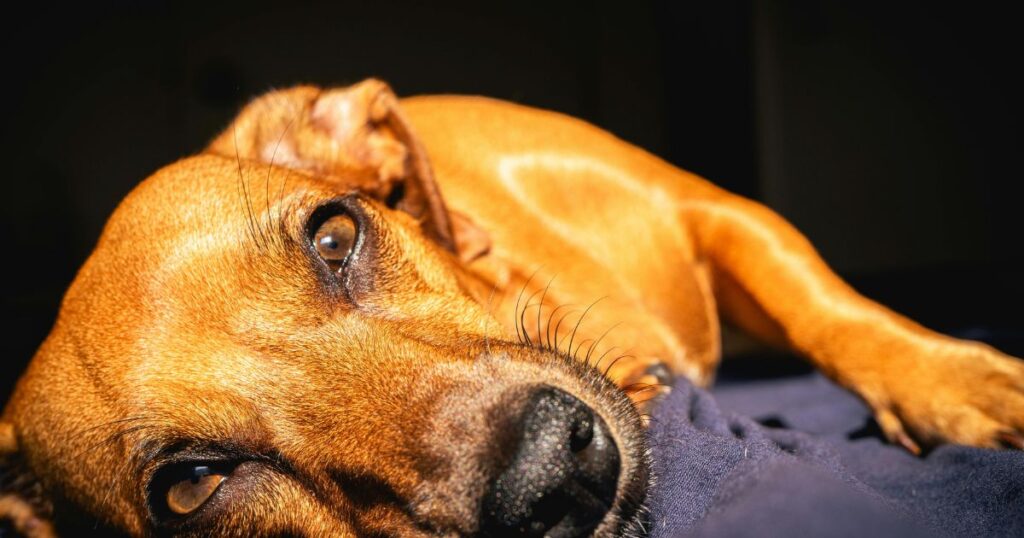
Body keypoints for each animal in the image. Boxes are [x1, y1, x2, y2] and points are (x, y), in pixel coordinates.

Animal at [2, 77, 1024, 532]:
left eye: (334, 236)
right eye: (191, 487)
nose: (550, 476)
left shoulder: (712, 213)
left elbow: (829, 308)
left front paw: (957, 381)